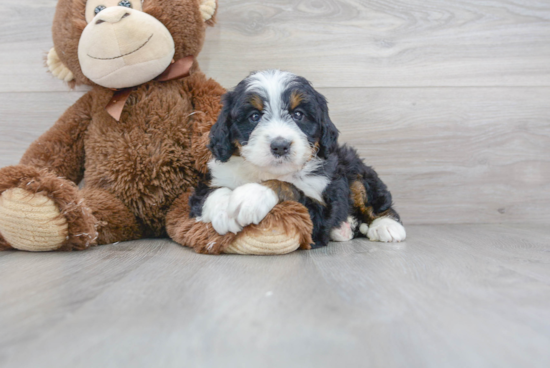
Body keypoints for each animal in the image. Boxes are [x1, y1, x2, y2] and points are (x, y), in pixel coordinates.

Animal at [192, 69, 408, 247]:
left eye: (298, 114)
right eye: (254, 116)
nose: (280, 146)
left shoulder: (320, 213)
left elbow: (287, 187)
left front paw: (252, 195)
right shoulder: (208, 183)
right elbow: (211, 192)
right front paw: (223, 210)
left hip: (354, 169)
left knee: (376, 202)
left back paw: (386, 225)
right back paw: (344, 228)